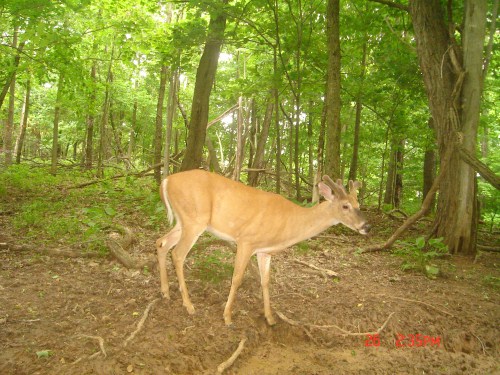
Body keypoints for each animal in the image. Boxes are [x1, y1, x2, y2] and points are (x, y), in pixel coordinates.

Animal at [156, 170, 372, 326]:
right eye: (345, 206)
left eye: (358, 203)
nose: (366, 226)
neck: (289, 223)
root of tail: (166, 180)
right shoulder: (246, 240)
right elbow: (237, 279)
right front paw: (227, 317)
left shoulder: (264, 250)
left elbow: (266, 281)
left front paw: (270, 318)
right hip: (194, 219)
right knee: (178, 253)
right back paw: (188, 305)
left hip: (183, 221)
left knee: (161, 243)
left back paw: (165, 292)